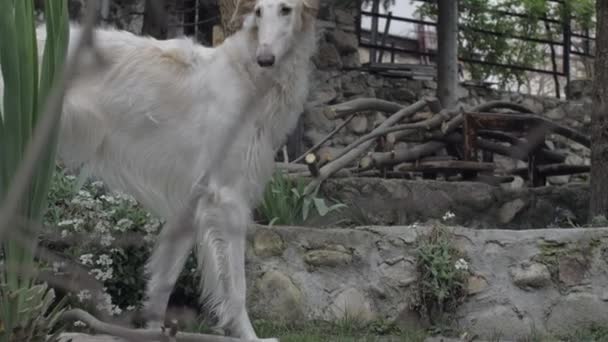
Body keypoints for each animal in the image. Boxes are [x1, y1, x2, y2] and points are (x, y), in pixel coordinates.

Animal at [2, 0, 320, 340]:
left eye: (286, 9)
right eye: (258, 11)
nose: (265, 59)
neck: (247, 77)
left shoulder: (190, 204)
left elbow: (163, 283)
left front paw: (152, 331)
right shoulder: (227, 197)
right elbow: (236, 289)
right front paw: (249, 335)